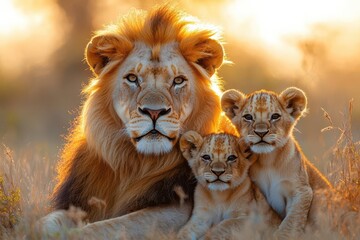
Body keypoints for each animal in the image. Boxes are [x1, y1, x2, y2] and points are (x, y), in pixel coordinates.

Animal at [36, 4, 236, 238]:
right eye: (132, 78)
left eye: (178, 81)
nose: (154, 112)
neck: (137, 165)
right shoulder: (80, 203)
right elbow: (43, 223)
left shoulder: (182, 211)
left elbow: (107, 226)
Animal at [221, 87, 334, 239]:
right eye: (248, 117)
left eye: (275, 116)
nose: (261, 132)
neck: (268, 160)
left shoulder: (301, 191)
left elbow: (291, 222)